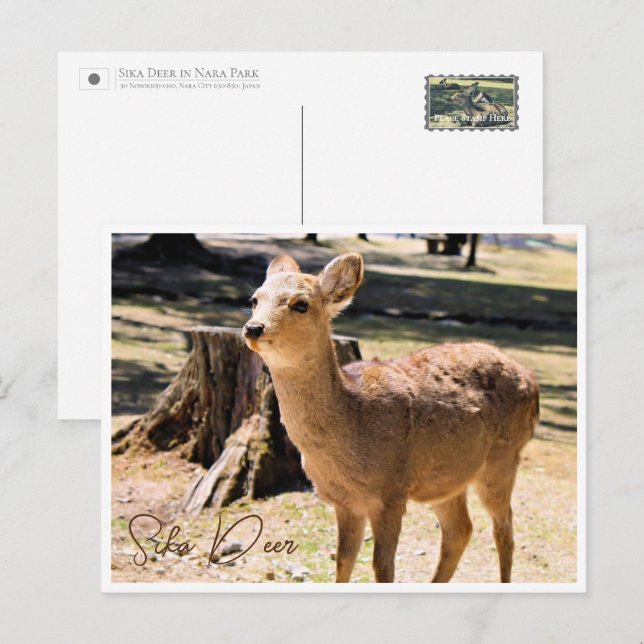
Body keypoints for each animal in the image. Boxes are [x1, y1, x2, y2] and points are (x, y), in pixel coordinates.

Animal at [242, 253, 538, 583]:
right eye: (255, 299)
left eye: (301, 304)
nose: (253, 328)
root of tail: (531, 380)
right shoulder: (344, 501)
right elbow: (343, 560)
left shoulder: (391, 492)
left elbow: (382, 567)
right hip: (447, 476)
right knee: (460, 529)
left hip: (504, 458)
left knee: (504, 530)